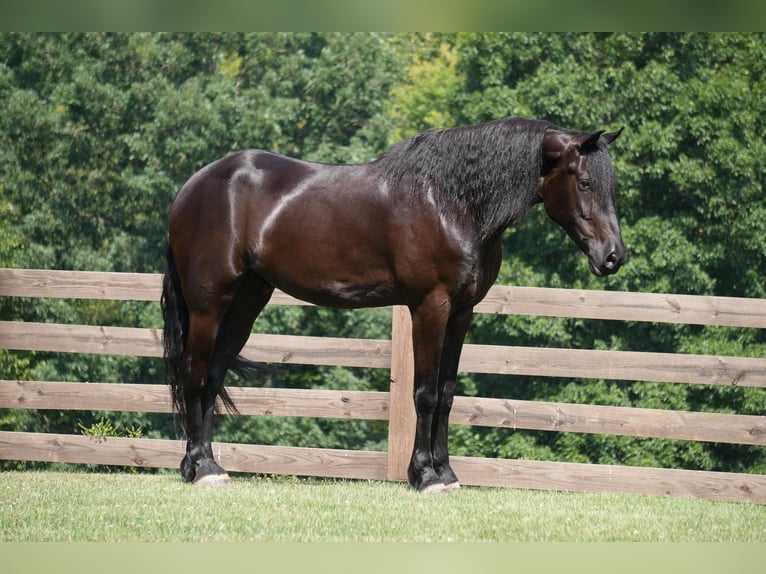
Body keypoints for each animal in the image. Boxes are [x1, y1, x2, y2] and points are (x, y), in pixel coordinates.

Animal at [160, 116, 624, 490]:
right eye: (584, 182)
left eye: (611, 186)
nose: (613, 256)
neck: (451, 202)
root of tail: (191, 188)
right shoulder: (430, 306)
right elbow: (425, 392)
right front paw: (425, 476)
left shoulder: (462, 312)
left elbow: (447, 392)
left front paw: (448, 474)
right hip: (209, 304)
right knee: (194, 375)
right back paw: (201, 470)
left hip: (245, 303)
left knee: (212, 377)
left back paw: (207, 466)